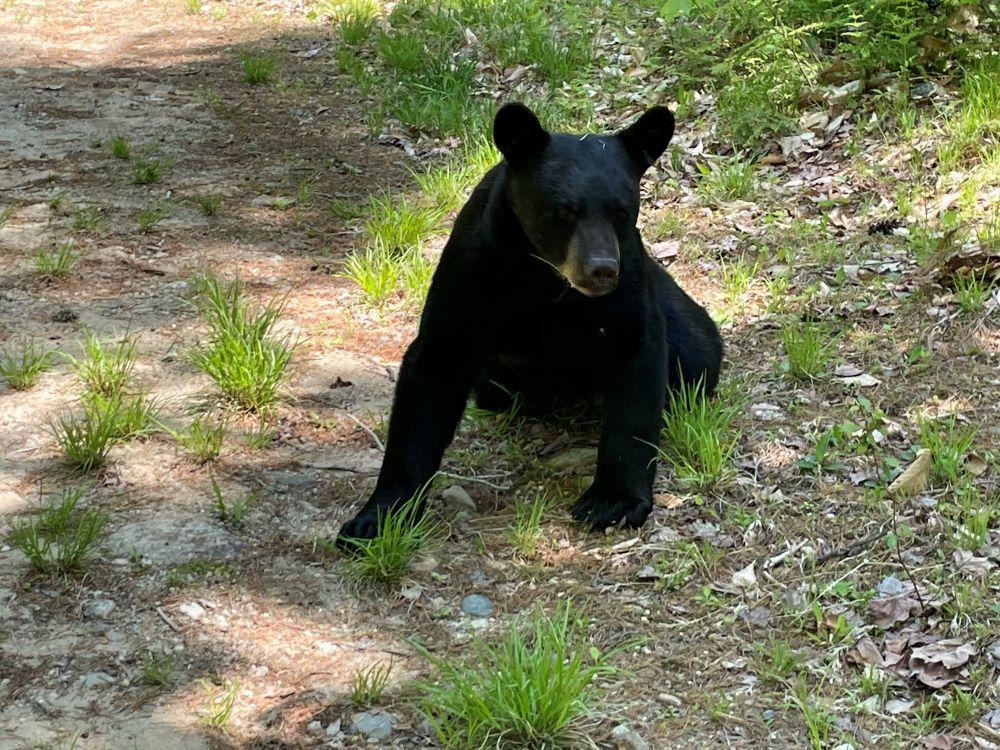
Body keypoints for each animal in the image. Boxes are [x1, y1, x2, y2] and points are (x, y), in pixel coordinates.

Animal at [336, 103, 720, 548]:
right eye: (564, 210)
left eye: (621, 211)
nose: (602, 269)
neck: (546, 279)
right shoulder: (471, 269)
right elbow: (432, 370)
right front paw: (376, 518)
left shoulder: (630, 287)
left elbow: (636, 368)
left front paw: (613, 502)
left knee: (696, 351)